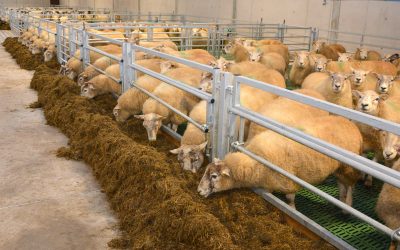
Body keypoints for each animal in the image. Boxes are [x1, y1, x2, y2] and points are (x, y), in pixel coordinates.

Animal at [198, 115, 364, 211]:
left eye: (214, 176)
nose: (198, 191)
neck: (255, 160)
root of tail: (352, 125)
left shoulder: (289, 182)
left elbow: (290, 199)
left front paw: (293, 209)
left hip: (349, 166)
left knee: (350, 184)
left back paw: (347, 205)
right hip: (339, 168)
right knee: (342, 182)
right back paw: (341, 199)